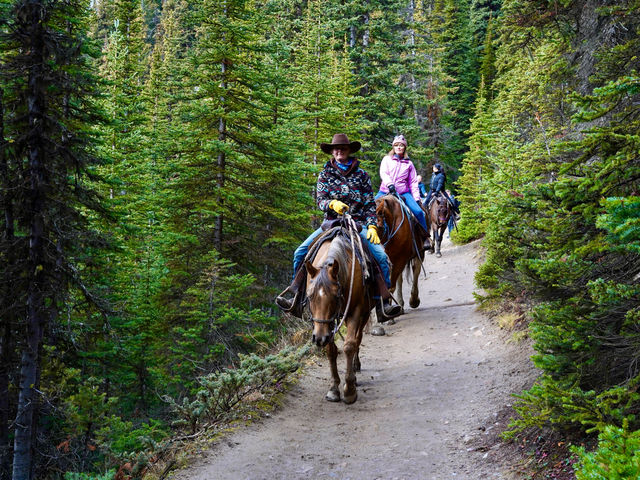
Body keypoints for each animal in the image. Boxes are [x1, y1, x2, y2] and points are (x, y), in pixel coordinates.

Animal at [306, 219, 376, 404]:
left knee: (358, 339)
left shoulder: (356, 311)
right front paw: (333, 388)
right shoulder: (326, 323)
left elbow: (350, 345)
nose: (319, 338)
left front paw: (349, 389)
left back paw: (355, 368)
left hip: (365, 313)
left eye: (335, 296)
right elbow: (331, 350)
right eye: (309, 296)